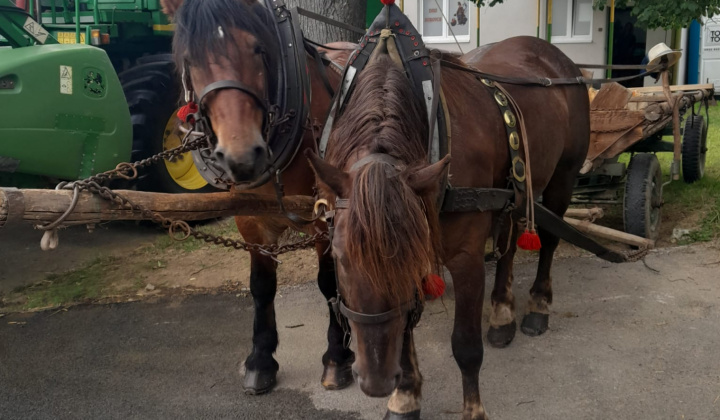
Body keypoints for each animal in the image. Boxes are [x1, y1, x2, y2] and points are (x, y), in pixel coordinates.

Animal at [160, 0, 358, 394]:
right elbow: (261, 286)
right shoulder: (250, 220)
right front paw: (261, 360)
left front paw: (336, 358)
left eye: (258, 49)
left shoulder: (325, 217)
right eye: (191, 60)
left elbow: (328, 281)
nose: (242, 157)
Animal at [308, 37, 592, 418]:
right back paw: (502, 313)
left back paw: (537, 306)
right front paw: (405, 396)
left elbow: (466, 346)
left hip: (564, 176)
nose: (376, 382)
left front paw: (473, 409)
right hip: (512, 194)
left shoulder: (466, 258)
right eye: (338, 256)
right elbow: (403, 330)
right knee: (509, 243)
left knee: (547, 241)